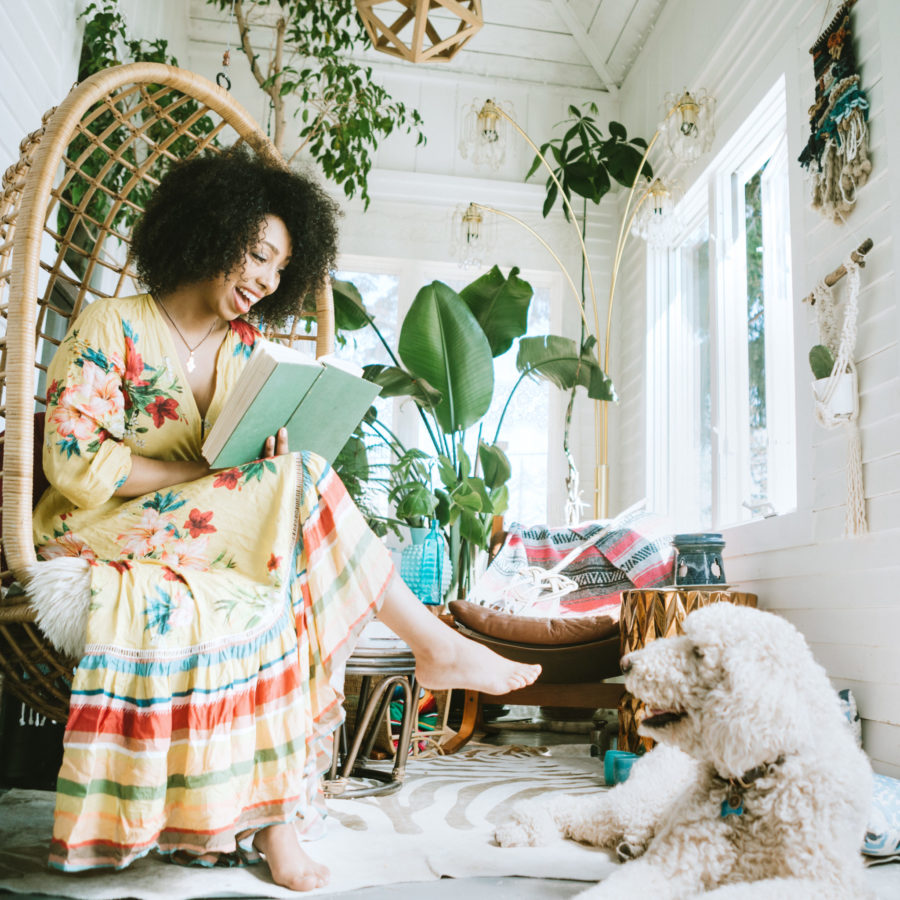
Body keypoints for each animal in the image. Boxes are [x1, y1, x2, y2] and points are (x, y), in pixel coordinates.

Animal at [495, 604, 873, 898]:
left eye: (699, 651)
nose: (626, 663)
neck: (760, 777)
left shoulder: (820, 882)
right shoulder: (673, 863)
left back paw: (630, 845)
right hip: (640, 802)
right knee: (569, 807)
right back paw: (518, 829)